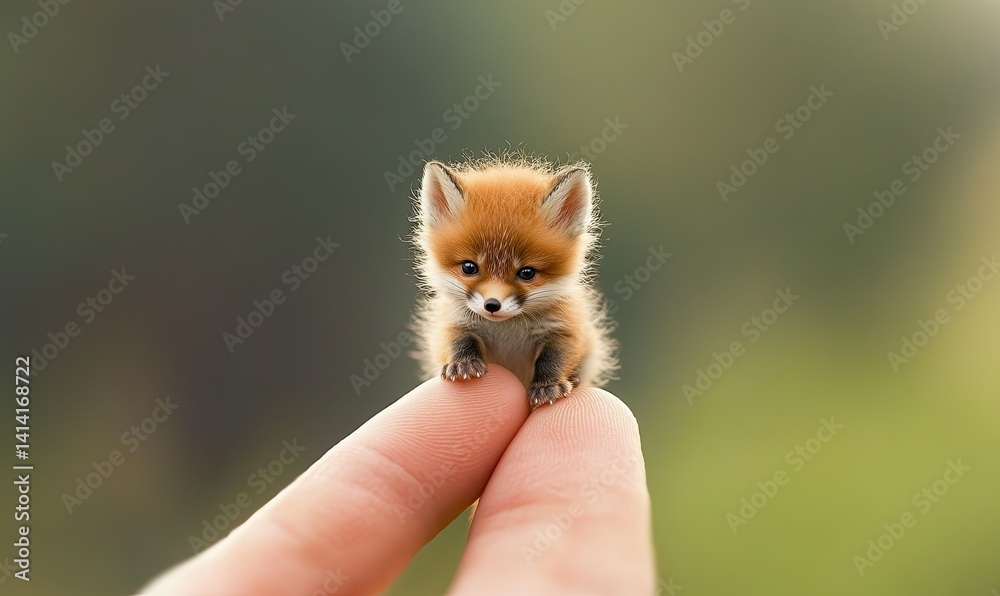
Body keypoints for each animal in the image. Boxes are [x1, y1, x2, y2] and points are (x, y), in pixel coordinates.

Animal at [409, 155, 617, 408]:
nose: (492, 305)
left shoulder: (567, 328)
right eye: (469, 267)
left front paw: (548, 386)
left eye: (527, 273)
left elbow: (554, 358)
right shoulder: (453, 322)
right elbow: (456, 341)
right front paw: (462, 364)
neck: (508, 331)